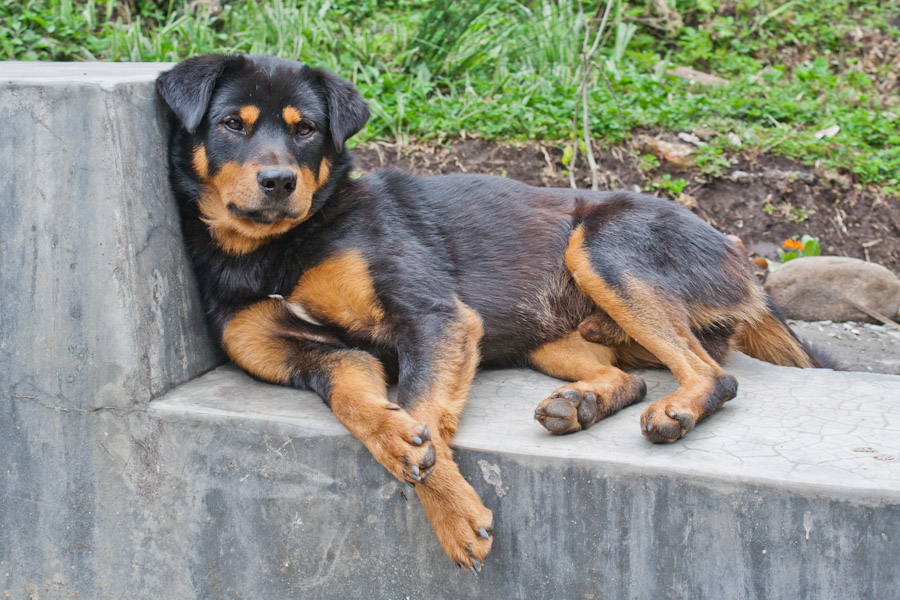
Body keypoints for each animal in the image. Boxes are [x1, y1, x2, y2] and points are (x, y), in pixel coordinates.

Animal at [155, 55, 824, 572]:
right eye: (231, 125)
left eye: (307, 130)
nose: (278, 181)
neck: (275, 251)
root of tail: (742, 258)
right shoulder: (314, 355)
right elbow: (361, 406)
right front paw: (399, 441)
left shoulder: (434, 317)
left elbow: (425, 418)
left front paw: (451, 514)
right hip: (549, 337)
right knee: (628, 376)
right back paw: (581, 404)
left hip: (603, 247)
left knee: (713, 373)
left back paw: (676, 409)